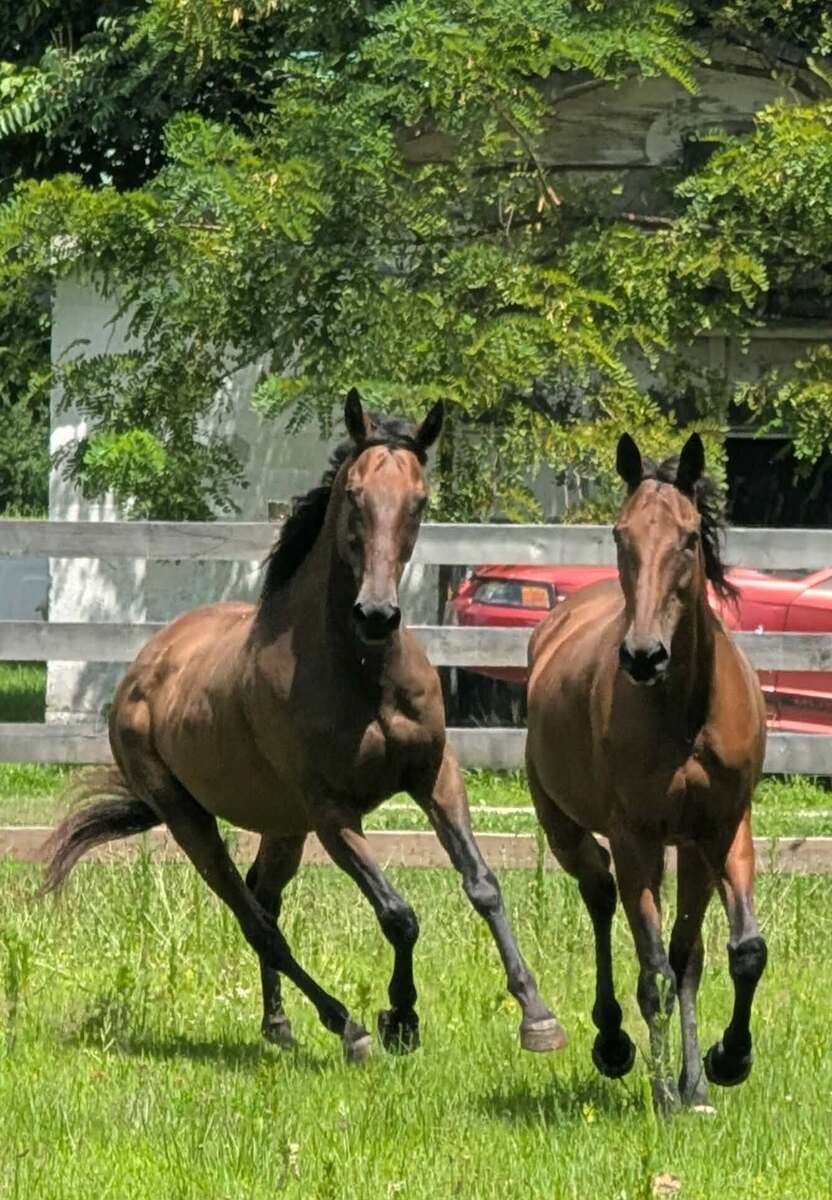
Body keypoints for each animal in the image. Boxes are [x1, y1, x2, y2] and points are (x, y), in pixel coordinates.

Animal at [42, 390, 563, 1062]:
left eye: (419, 499)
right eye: (355, 495)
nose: (376, 614)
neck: (363, 673)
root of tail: (143, 669)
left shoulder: (434, 776)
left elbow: (483, 884)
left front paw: (537, 1015)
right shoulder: (332, 813)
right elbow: (399, 914)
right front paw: (400, 1018)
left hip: (281, 824)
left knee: (266, 898)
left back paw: (280, 1025)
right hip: (191, 820)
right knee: (258, 922)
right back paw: (346, 1025)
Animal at [525, 432, 767, 1112]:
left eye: (688, 537)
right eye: (619, 534)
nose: (642, 655)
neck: (685, 711)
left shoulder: (722, 829)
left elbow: (735, 953)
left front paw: (720, 1065)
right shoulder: (636, 838)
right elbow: (653, 969)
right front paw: (664, 1096)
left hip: (686, 848)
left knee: (687, 953)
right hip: (569, 831)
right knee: (602, 899)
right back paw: (613, 1044)